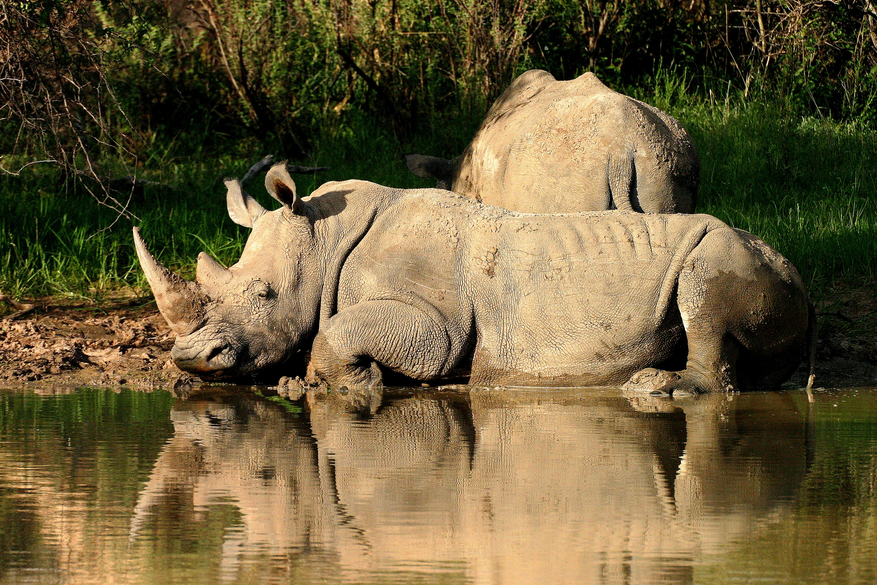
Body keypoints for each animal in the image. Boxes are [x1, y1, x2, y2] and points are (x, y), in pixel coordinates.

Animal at [133, 162, 812, 394]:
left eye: (266, 294)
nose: (191, 359)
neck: (324, 239)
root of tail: (795, 270)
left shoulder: (434, 324)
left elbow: (349, 334)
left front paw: (345, 386)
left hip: (726, 252)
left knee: (704, 294)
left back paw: (653, 389)